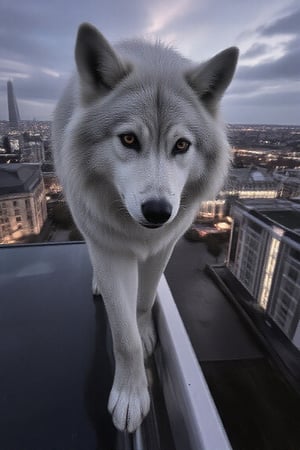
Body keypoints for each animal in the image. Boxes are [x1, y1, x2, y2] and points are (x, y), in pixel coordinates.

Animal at [52, 22, 239, 434]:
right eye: (128, 139)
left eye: (182, 145)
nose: (157, 212)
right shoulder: (109, 250)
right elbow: (124, 338)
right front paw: (131, 395)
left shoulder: (164, 245)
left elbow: (144, 299)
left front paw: (144, 329)